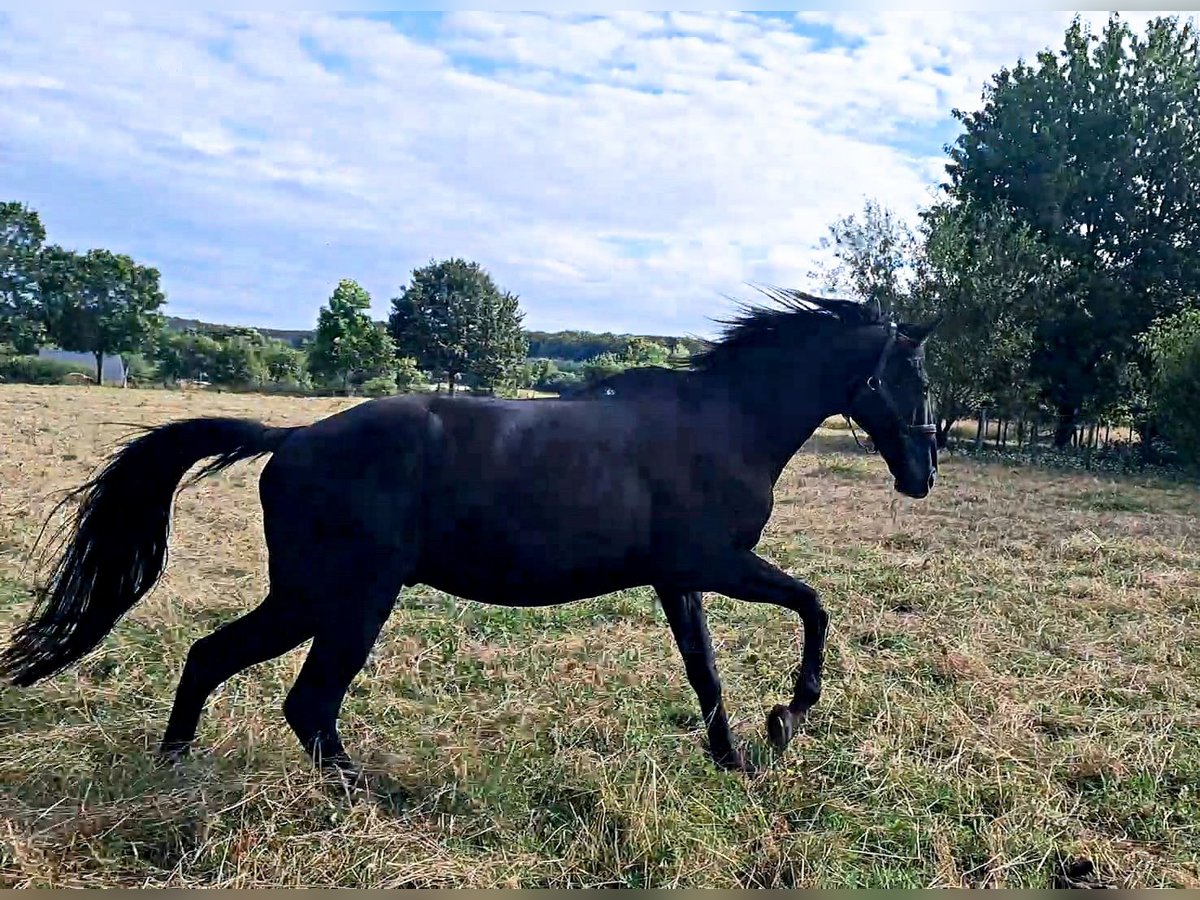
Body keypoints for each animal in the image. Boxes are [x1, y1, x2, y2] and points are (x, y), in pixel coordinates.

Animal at [0, 290, 936, 782]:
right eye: (911, 375)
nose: (922, 474)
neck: (722, 423)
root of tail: (291, 440)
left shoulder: (681, 579)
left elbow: (705, 670)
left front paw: (738, 754)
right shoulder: (716, 562)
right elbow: (813, 606)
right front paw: (788, 717)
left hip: (307, 598)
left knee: (211, 659)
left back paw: (175, 772)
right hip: (347, 600)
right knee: (305, 701)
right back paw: (367, 796)